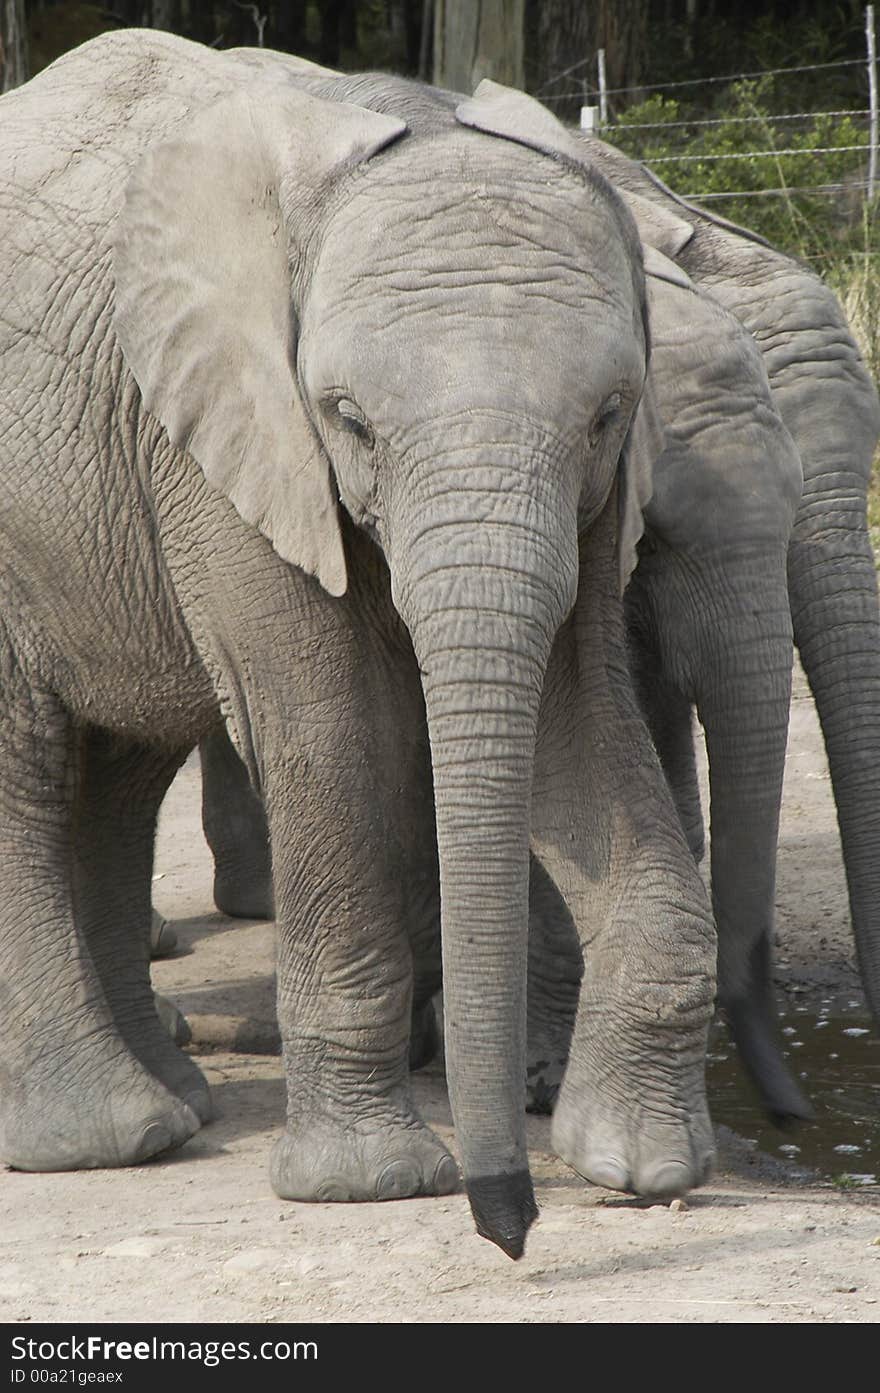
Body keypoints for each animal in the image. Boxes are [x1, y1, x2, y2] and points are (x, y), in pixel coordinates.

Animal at [0, 27, 718, 1259]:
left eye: (609, 414)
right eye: (348, 419)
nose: (512, 1227)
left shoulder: (594, 501)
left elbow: (578, 727)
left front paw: (642, 1163)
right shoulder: (224, 440)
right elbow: (328, 732)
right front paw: (370, 1184)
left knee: (120, 773)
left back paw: (174, 1110)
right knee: (33, 771)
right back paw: (107, 1138)